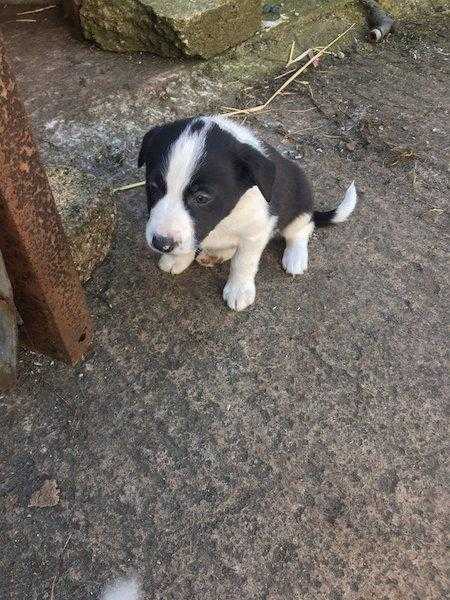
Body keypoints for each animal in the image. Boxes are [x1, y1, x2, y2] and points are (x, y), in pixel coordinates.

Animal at [137, 118, 356, 314]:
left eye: (201, 198)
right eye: (153, 186)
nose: (161, 243)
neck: (224, 219)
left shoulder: (255, 234)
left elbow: (243, 262)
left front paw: (239, 290)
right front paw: (177, 259)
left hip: (299, 203)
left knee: (301, 229)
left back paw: (296, 256)